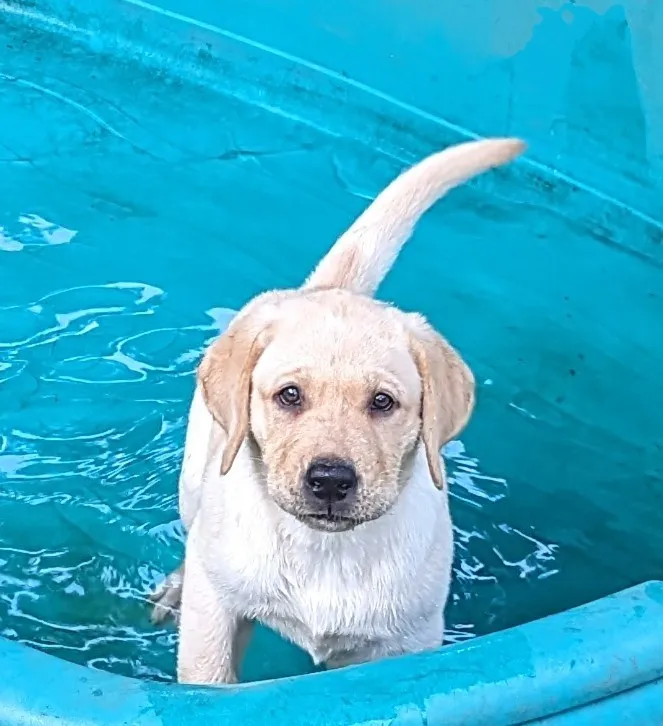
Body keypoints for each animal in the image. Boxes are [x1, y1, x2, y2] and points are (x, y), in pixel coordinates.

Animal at [150, 138, 524, 688]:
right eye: (289, 396)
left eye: (383, 402)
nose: (329, 480)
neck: (323, 550)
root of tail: (327, 289)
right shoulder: (216, 612)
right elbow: (208, 676)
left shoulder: (411, 640)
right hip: (196, 480)